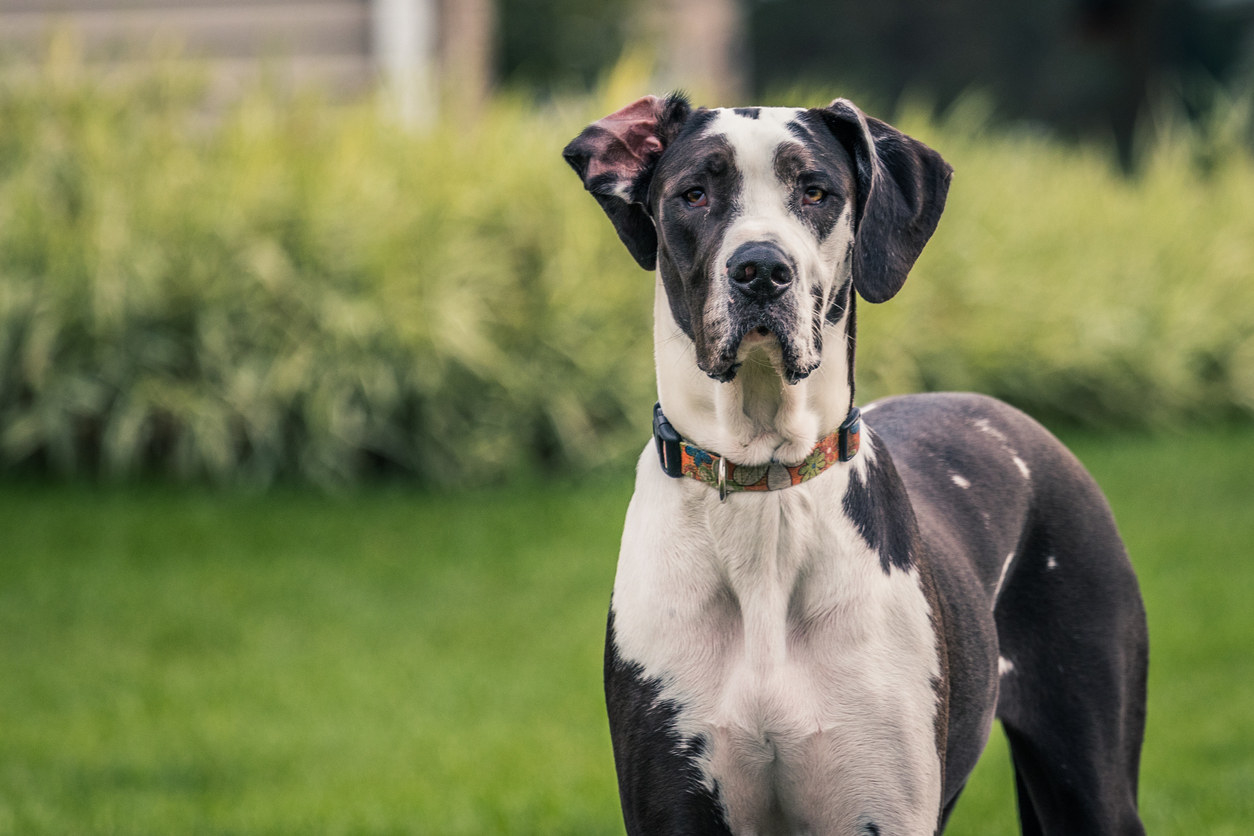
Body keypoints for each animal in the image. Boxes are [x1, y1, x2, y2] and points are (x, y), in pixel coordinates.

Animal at [564, 96, 1148, 836]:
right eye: (694, 193)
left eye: (816, 192)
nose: (761, 269)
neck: (765, 490)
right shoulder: (674, 805)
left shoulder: (882, 806)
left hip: (1091, 775)